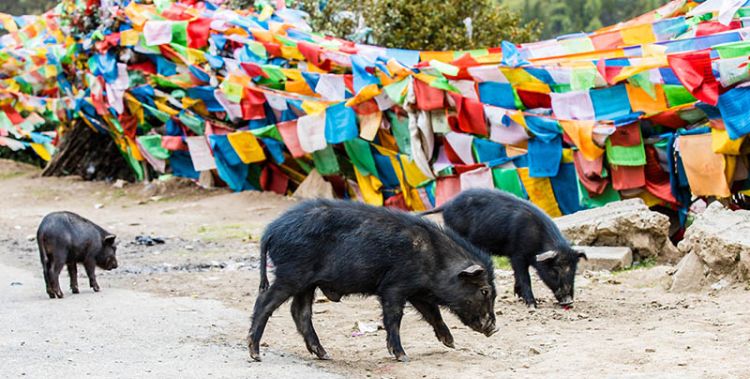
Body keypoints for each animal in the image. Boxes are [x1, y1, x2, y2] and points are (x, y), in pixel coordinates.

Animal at [247, 199, 502, 362]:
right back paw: (255, 353)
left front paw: (450, 342)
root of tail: (271, 231)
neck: (436, 260)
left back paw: (325, 355)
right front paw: (402, 356)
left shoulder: (417, 291)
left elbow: (433, 313)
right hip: (292, 273)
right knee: (265, 302)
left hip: (307, 283)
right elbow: (394, 317)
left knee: (300, 312)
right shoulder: (394, 287)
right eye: (485, 291)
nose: (494, 328)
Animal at [424, 190, 588, 308]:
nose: (568, 301)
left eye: (574, 271)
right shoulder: (518, 254)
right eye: (555, 270)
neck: (538, 240)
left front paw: (519, 295)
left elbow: (517, 275)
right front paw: (532, 305)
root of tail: (448, 204)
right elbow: (524, 277)